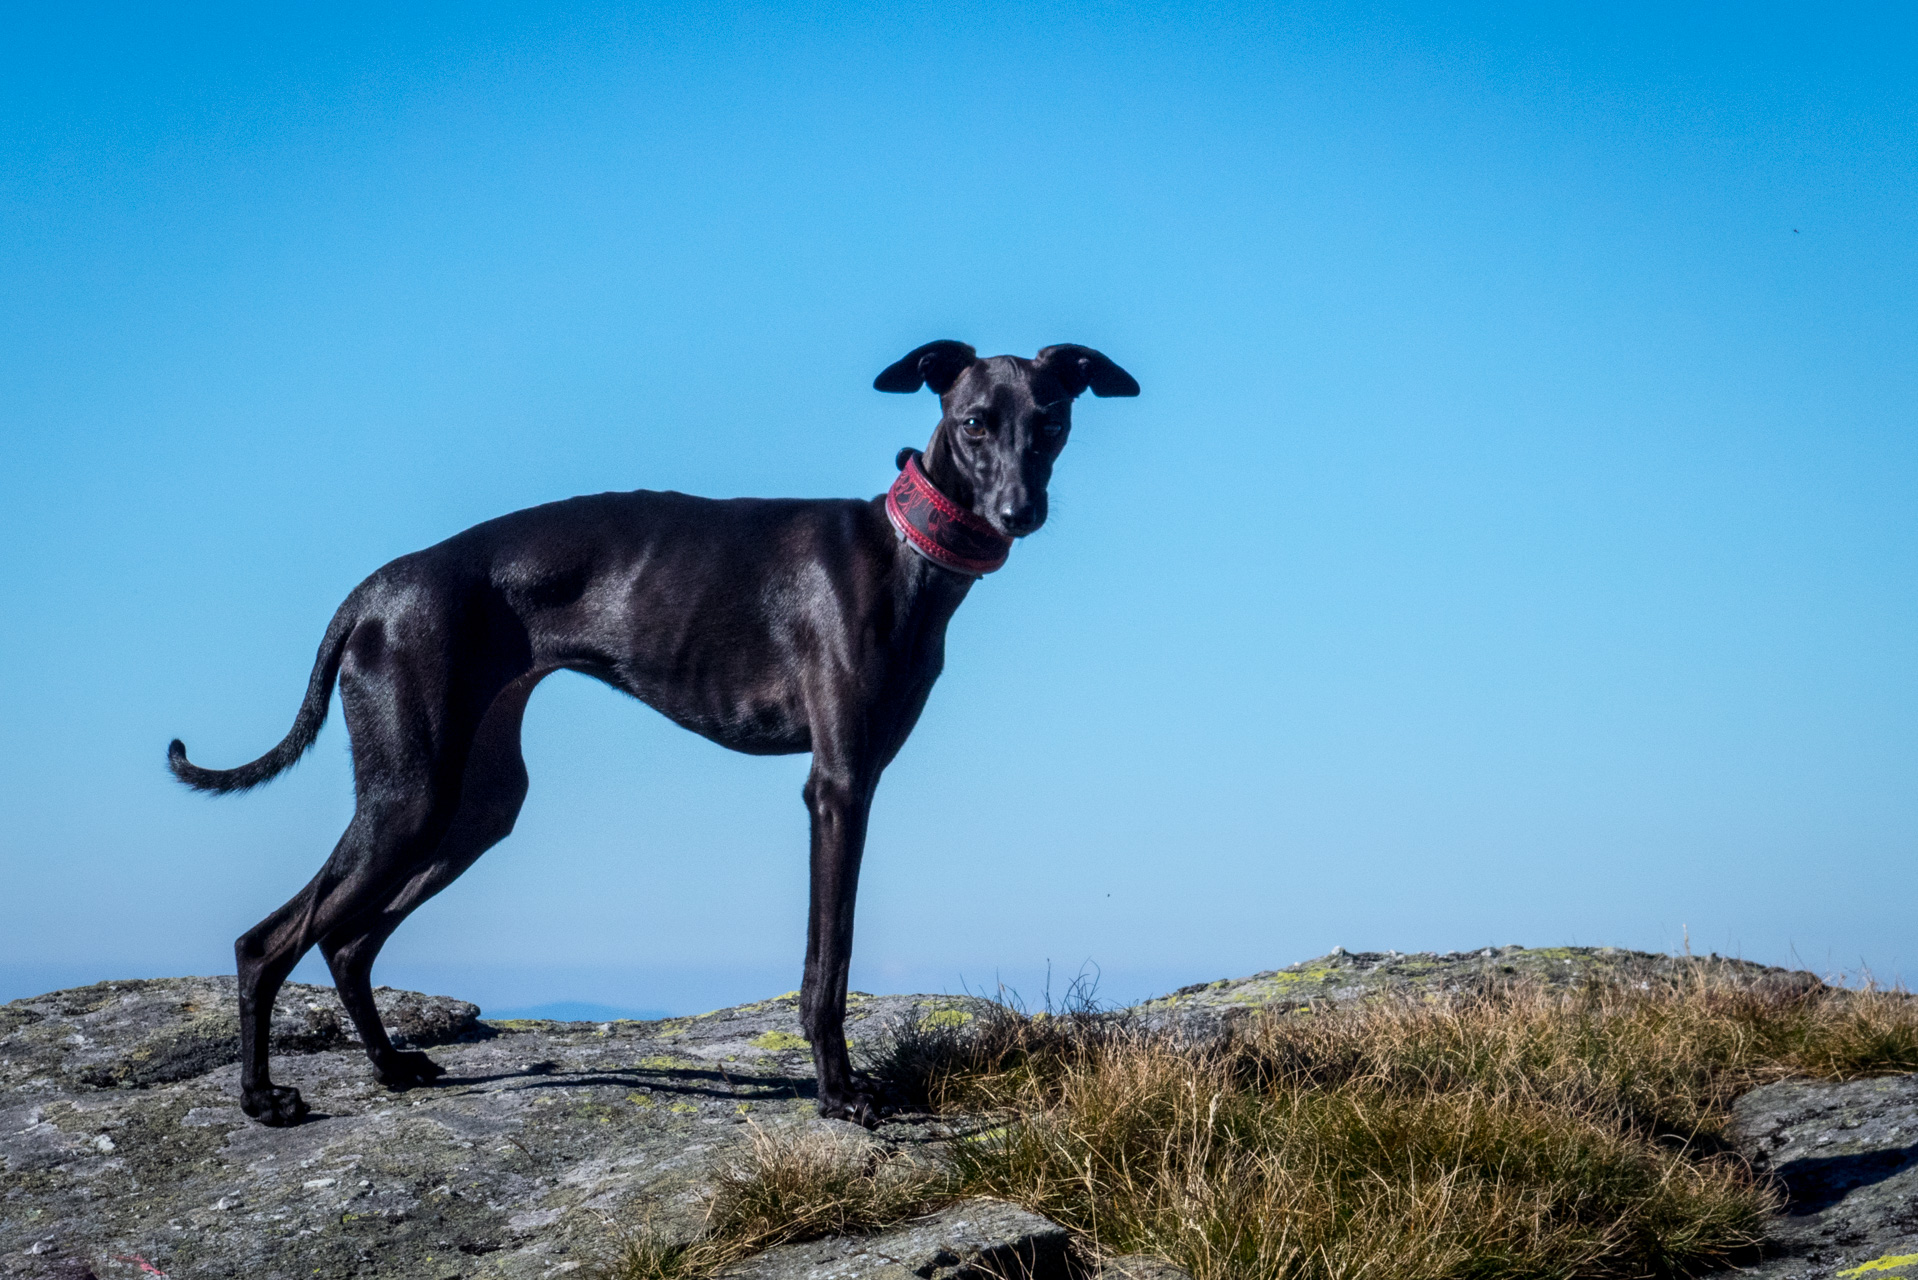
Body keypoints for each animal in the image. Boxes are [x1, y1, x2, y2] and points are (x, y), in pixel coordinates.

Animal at [168, 337, 1135, 1120]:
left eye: (1050, 422)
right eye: (974, 423)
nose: (1019, 513)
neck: (902, 549)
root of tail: (374, 590)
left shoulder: (851, 783)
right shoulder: (837, 787)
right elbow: (828, 967)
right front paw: (839, 1096)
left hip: (478, 804)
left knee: (347, 939)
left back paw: (389, 1067)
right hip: (411, 795)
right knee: (269, 942)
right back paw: (260, 1100)